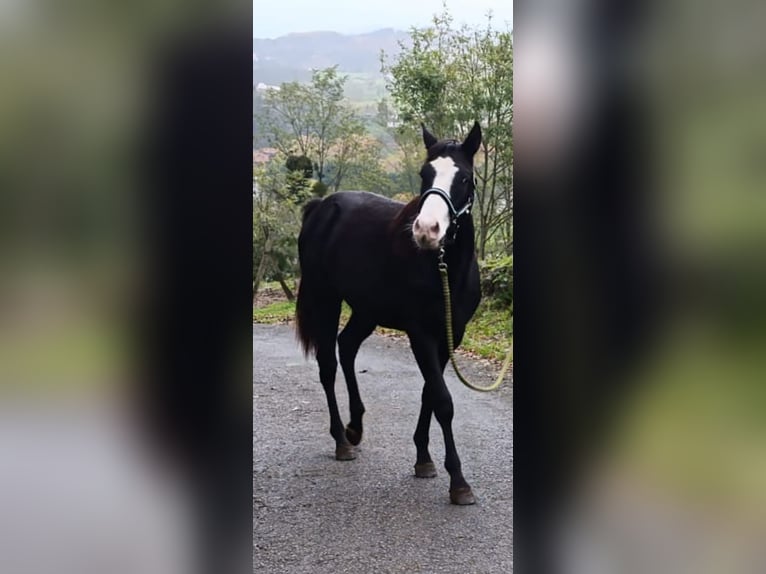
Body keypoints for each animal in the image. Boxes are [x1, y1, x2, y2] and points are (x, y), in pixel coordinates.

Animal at [296, 124, 484, 506]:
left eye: (464, 178)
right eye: (425, 174)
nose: (426, 231)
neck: (445, 270)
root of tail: (322, 207)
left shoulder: (450, 335)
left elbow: (430, 394)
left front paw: (424, 459)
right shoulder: (420, 334)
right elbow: (443, 400)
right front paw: (458, 481)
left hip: (366, 310)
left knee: (347, 346)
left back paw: (355, 427)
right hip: (326, 300)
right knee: (328, 364)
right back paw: (341, 440)